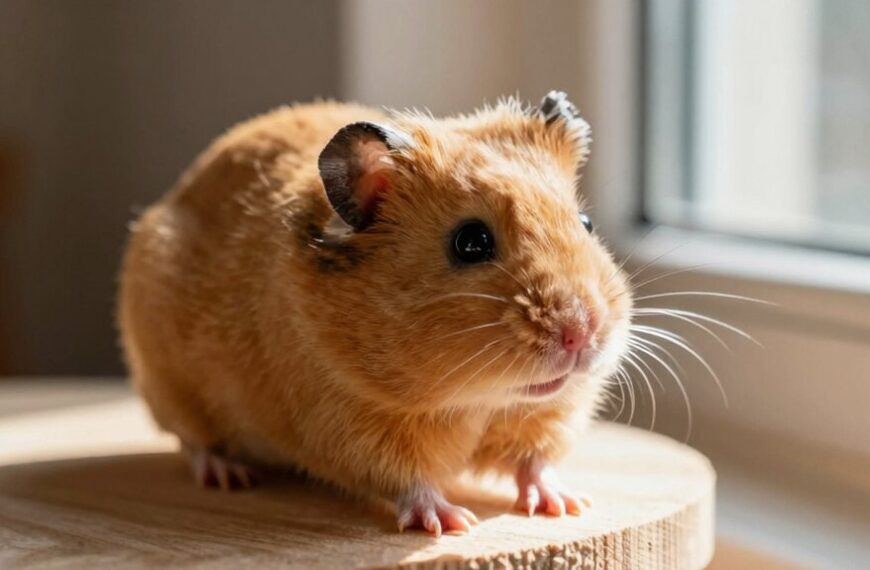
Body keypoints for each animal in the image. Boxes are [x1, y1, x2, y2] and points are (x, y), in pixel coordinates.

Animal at [118, 91, 632, 536]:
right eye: (470, 242)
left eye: (586, 224)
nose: (582, 333)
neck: (477, 399)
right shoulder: (353, 424)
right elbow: (410, 481)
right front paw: (452, 523)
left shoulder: (547, 415)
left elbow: (535, 462)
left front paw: (566, 505)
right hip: (168, 384)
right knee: (192, 441)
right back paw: (228, 475)